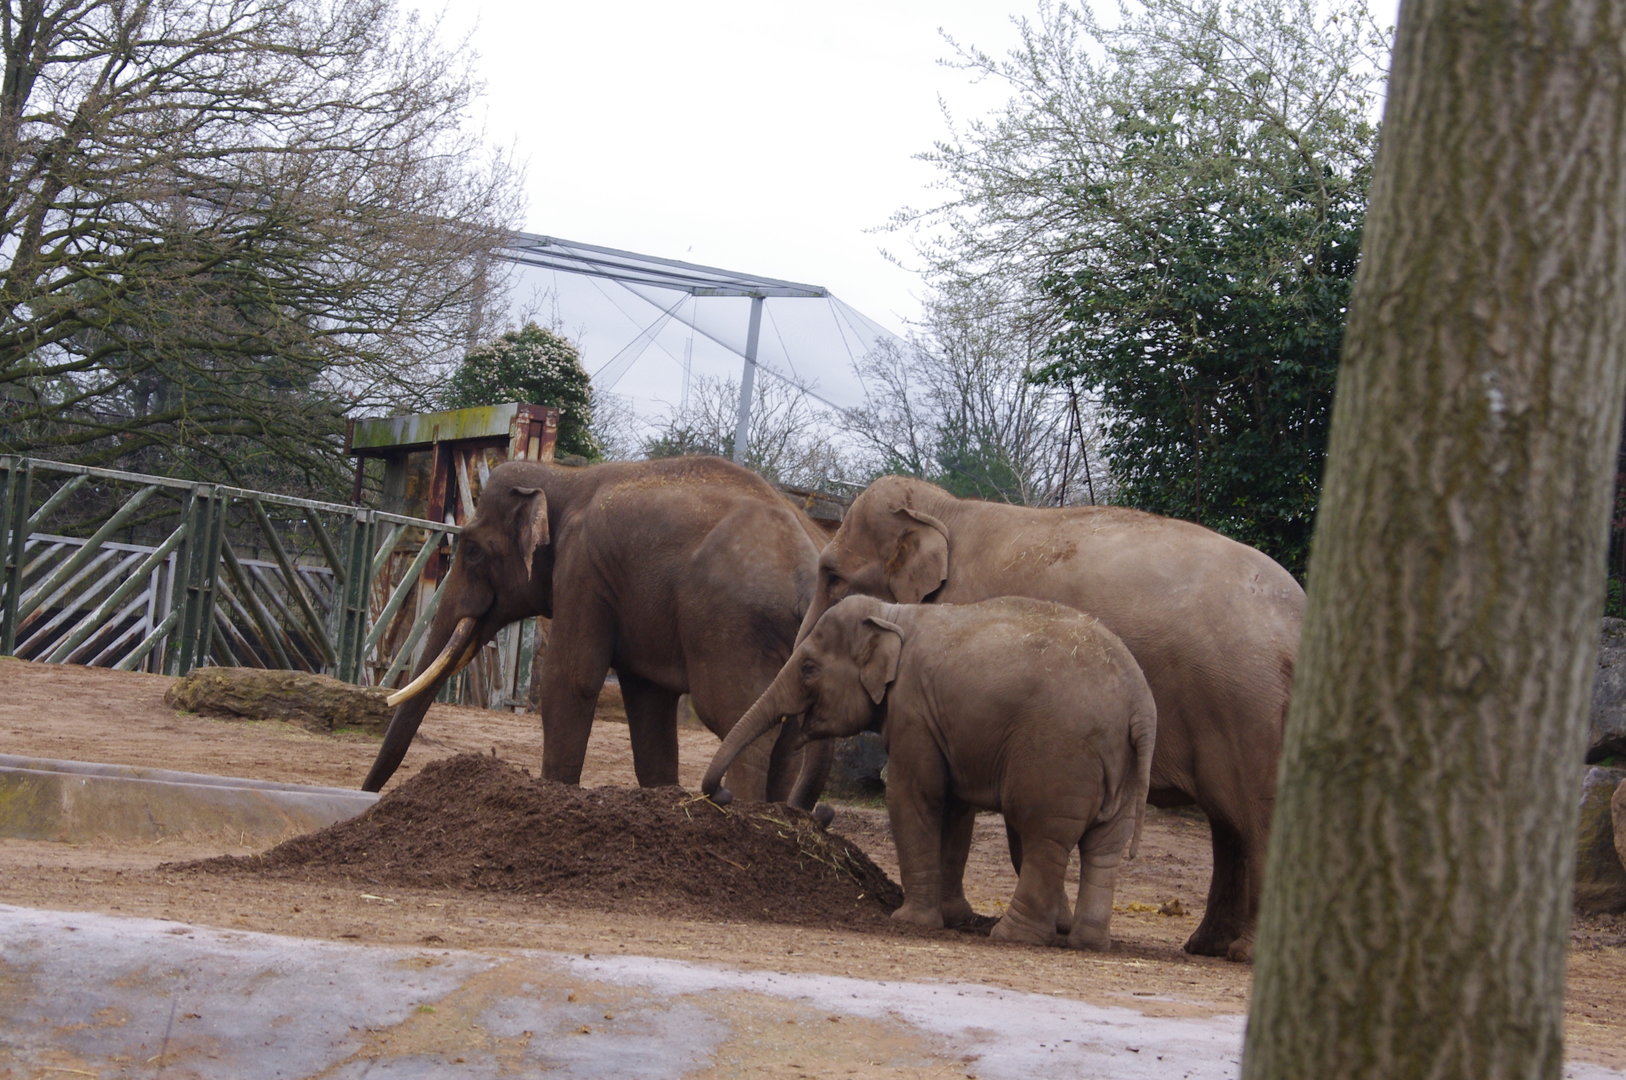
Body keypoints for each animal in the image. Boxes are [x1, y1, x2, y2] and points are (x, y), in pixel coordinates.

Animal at [362, 456, 834, 803]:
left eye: (473, 551)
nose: (369, 794)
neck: (567, 478)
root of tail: (807, 576)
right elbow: (648, 704)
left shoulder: (583, 569)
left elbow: (571, 679)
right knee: (786, 739)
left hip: (733, 629)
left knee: (739, 722)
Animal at [703, 594, 1157, 949]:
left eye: (809, 668)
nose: (721, 795)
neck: (894, 614)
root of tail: (1139, 705)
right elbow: (953, 808)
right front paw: (952, 917)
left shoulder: (912, 712)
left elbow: (913, 796)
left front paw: (909, 921)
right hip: (1123, 767)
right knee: (1104, 846)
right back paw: (1088, 942)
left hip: (1058, 756)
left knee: (1042, 835)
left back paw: (1013, 935)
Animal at [794, 475, 1304, 962]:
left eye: (832, 576)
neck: (946, 509)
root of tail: (1298, 617)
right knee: (1228, 825)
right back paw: (1208, 945)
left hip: (1250, 710)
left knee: (1256, 819)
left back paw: (1244, 952)